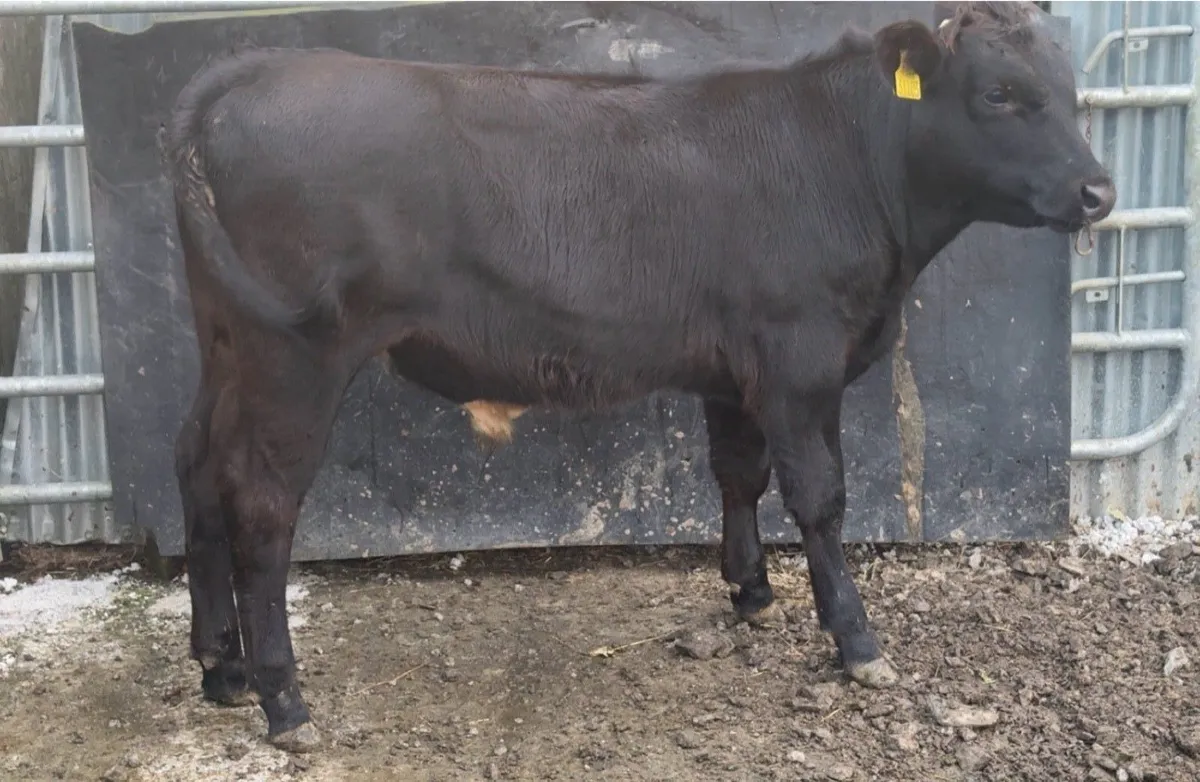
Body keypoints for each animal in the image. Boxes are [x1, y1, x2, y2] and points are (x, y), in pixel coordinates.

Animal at [163, 1, 1115, 751]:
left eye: (1071, 95)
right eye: (998, 94)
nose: (1099, 192)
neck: (847, 161)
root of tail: (252, 68)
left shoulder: (735, 370)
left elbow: (738, 474)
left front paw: (750, 592)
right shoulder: (800, 360)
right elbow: (820, 496)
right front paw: (855, 640)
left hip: (227, 344)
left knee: (196, 463)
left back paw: (221, 668)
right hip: (296, 357)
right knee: (261, 502)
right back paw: (284, 699)